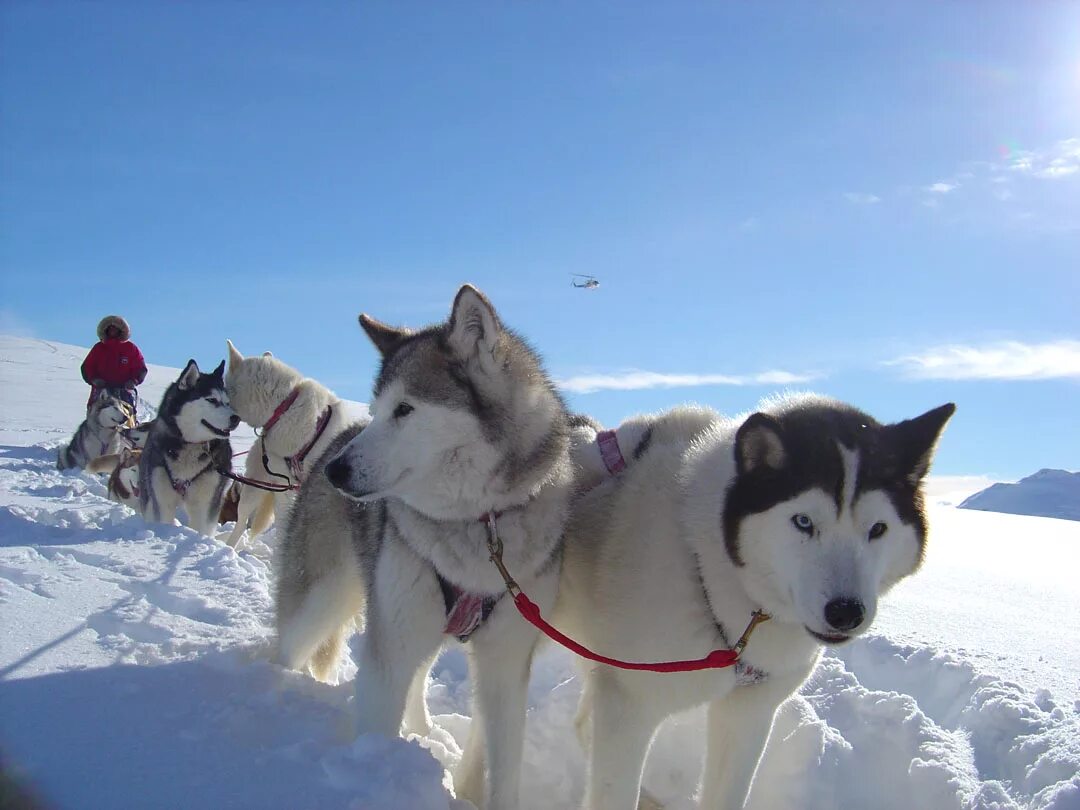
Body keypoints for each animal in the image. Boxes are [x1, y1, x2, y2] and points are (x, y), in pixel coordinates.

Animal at [139, 360, 238, 540]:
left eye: (228, 403)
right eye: (212, 399)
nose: (236, 418)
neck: (191, 444)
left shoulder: (205, 503)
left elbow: (202, 528)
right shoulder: (162, 500)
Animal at [282, 287, 578, 810]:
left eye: (405, 409)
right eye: (378, 408)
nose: (337, 472)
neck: (479, 524)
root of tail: (333, 440)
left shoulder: (505, 664)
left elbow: (504, 766)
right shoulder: (390, 649)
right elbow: (378, 720)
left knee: (419, 680)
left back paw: (424, 734)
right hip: (323, 601)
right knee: (288, 645)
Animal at [557, 395, 954, 810]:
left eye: (877, 529)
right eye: (803, 521)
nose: (846, 612)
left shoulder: (748, 714)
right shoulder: (629, 707)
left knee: (583, 723)